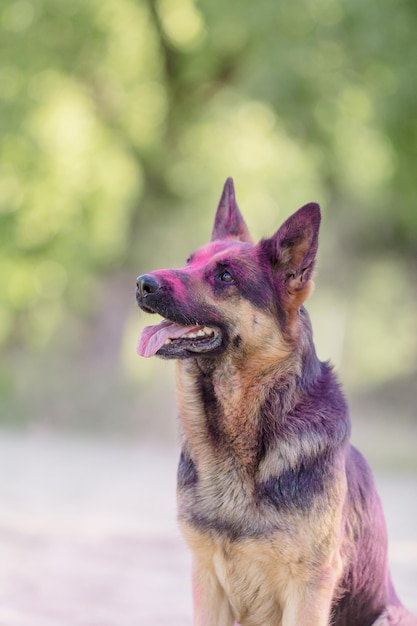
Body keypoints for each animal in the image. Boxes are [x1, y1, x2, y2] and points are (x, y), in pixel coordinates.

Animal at [135, 177, 414, 624]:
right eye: (189, 261)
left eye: (225, 276)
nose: (142, 284)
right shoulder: (206, 579)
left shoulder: (310, 588)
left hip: (393, 615)